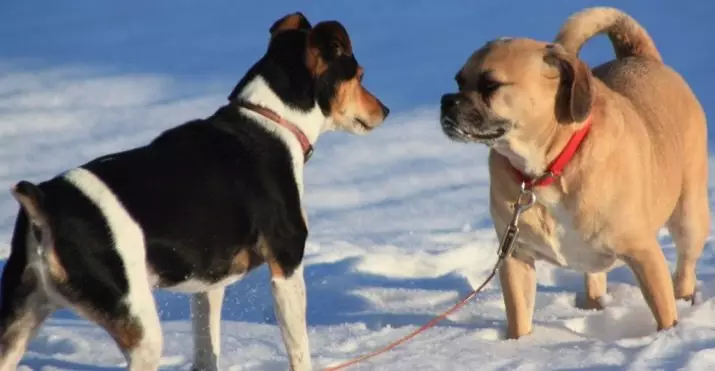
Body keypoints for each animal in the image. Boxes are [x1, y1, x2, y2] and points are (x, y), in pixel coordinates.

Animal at [0, 12, 388, 371]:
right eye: (359, 75)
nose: (384, 110)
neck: (270, 120)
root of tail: (45, 204)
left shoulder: (208, 284)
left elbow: (206, 348)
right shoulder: (286, 266)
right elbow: (298, 349)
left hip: (20, 320)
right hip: (140, 329)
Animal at [440, 6, 708, 340]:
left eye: (491, 85)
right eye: (458, 80)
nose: (446, 100)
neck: (546, 172)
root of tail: (641, 56)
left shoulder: (643, 253)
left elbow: (663, 309)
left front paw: (667, 336)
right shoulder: (516, 257)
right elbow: (519, 316)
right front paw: (518, 345)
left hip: (689, 215)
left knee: (684, 267)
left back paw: (684, 299)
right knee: (595, 276)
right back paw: (592, 307)